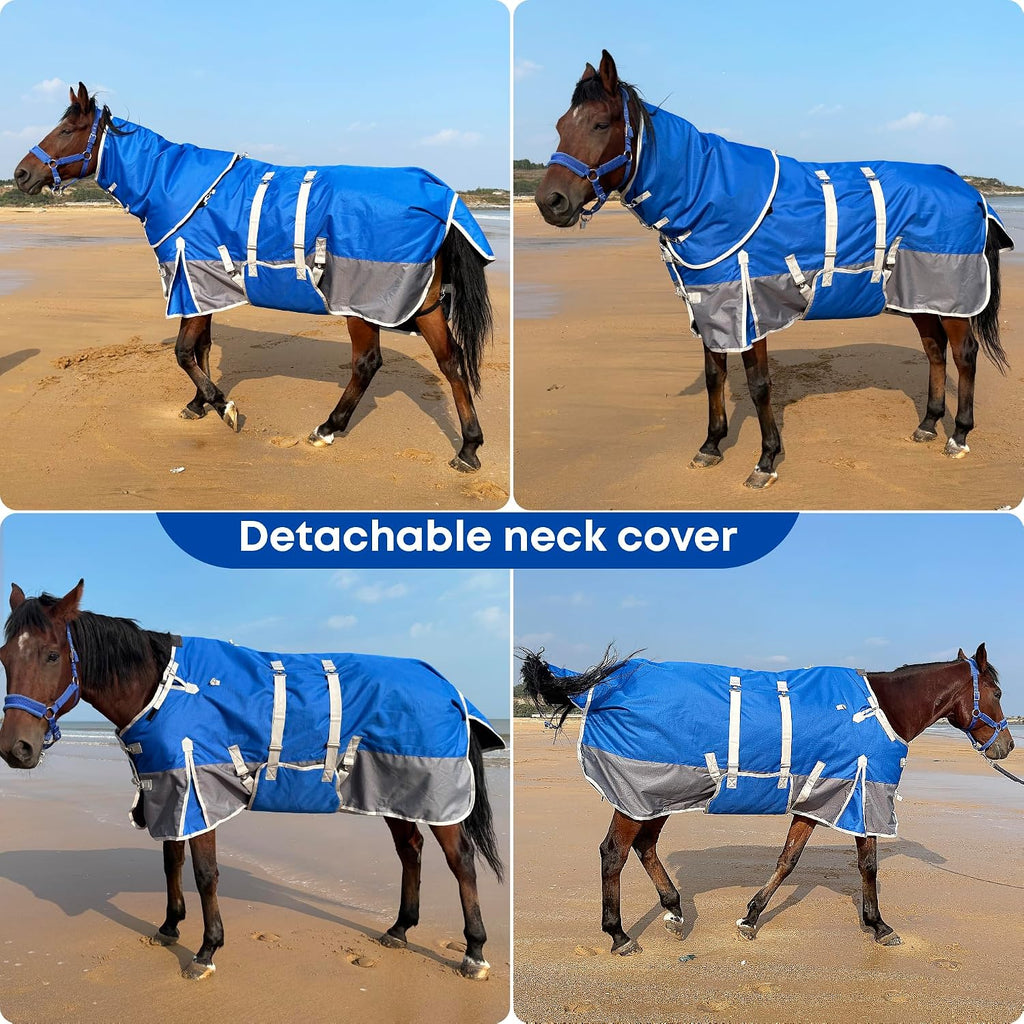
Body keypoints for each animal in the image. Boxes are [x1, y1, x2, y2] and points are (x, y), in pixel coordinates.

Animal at [0, 581, 505, 981]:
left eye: (51, 655)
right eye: (5, 657)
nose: (15, 749)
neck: (165, 689)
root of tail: (448, 687)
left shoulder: (197, 790)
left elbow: (204, 873)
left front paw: (206, 950)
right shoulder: (169, 789)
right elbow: (171, 861)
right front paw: (170, 926)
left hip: (435, 795)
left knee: (461, 861)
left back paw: (474, 951)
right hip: (389, 789)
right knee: (410, 851)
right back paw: (400, 929)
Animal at [14, 83, 495, 472]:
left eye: (65, 131)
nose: (20, 174)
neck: (177, 188)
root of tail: (441, 196)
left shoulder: (192, 280)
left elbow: (184, 352)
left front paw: (222, 406)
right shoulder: (202, 287)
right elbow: (201, 348)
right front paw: (199, 404)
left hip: (359, 303)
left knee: (367, 363)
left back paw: (328, 427)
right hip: (425, 304)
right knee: (451, 362)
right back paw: (468, 448)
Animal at [520, 644, 1013, 953]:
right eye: (999, 692)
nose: (1006, 746)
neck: (880, 710)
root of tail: (603, 687)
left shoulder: (818, 798)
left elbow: (788, 860)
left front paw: (750, 918)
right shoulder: (861, 795)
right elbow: (868, 865)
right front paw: (880, 926)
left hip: (660, 795)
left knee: (644, 847)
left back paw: (675, 910)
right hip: (641, 793)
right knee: (614, 853)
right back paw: (619, 935)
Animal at [535, 51, 1013, 488]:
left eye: (600, 124)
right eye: (560, 125)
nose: (550, 202)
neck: (708, 194)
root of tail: (973, 193)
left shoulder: (751, 308)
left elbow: (759, 384)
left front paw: (765, 461)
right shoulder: (711, 305)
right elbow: (715, 376)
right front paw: (711, 446)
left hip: (950, 295)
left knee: (963, 354)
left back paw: (958, 435)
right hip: (920, 296)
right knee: (934, 351)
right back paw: (928, 425)